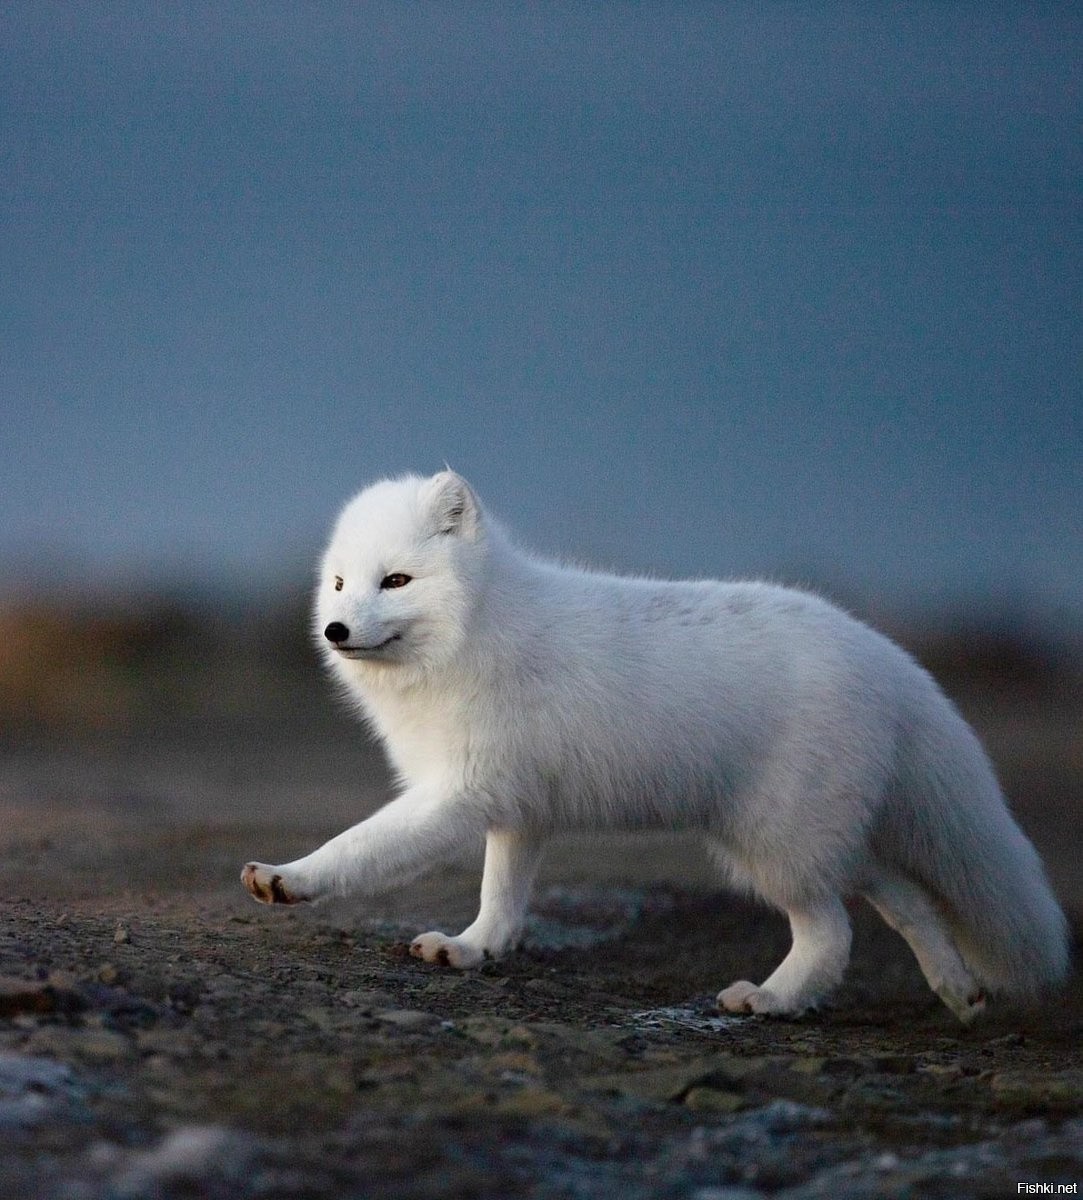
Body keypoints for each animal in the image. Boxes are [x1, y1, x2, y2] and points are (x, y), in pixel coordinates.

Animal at [243, 472, 1066, 1017]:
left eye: (397, 581)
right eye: (341, 584)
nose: (334, 630)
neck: (476, 634)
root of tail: (888, 656)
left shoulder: (459, 792)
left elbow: (360, 844)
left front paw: (289, 877)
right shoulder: (519, 809)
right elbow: (500, 899)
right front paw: (473, 948)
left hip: (770, 842)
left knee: (834, 932)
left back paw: (769, 1000)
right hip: (811, 834)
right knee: (905, 899)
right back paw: (959, 991)